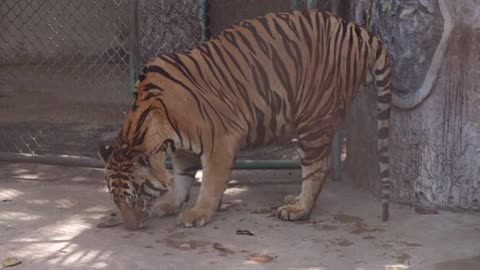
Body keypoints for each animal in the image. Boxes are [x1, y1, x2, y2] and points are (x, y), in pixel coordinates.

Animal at [99, 10, 392, 230]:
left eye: (133, 196)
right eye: (115, 199)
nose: (131, 227)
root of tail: (358, 30)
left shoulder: (221, 139)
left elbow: (210, 181)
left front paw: (198, 213)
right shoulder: (182, 149)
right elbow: (181, 178)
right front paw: (170, 203)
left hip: (314, 119)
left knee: (318, 166)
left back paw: (298, 209)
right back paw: (295, 198)